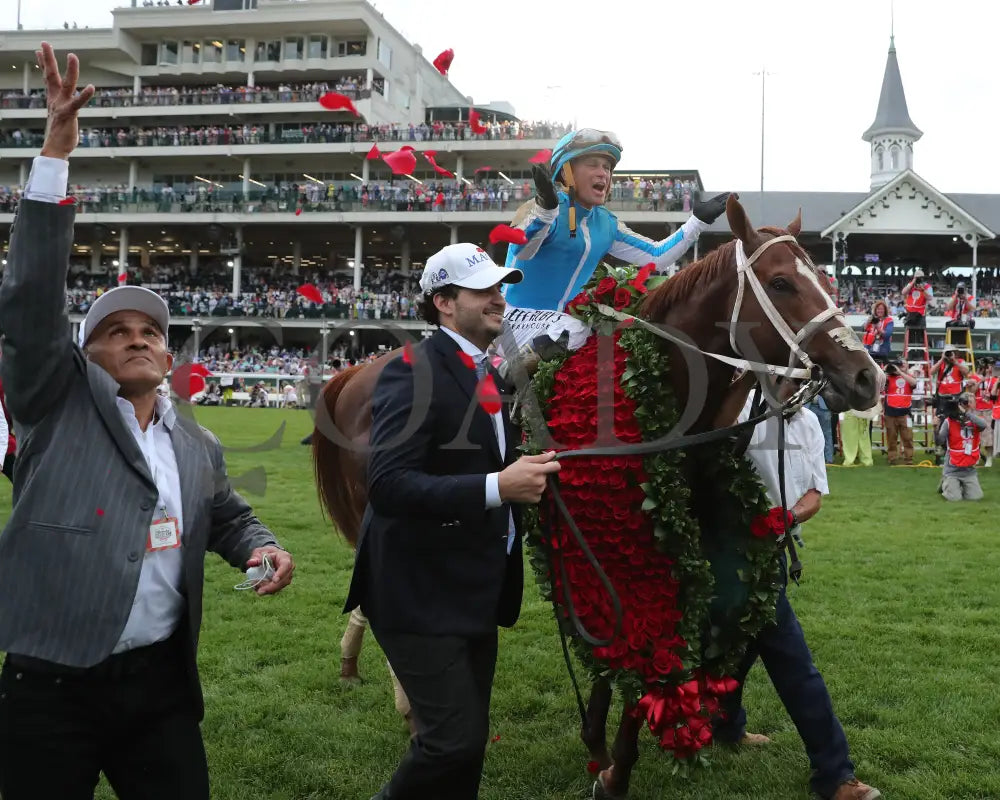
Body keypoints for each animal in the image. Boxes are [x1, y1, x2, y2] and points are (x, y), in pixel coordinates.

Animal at [310, 195, 876, 800]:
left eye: (824, 278)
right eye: (780, 282)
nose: (867, 377)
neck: (650, 389)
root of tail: (355, 373)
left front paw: (598, 741)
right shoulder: (613, 537)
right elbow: (642, 645)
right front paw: (617, 768)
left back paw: (357, 668)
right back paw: (409, 706)